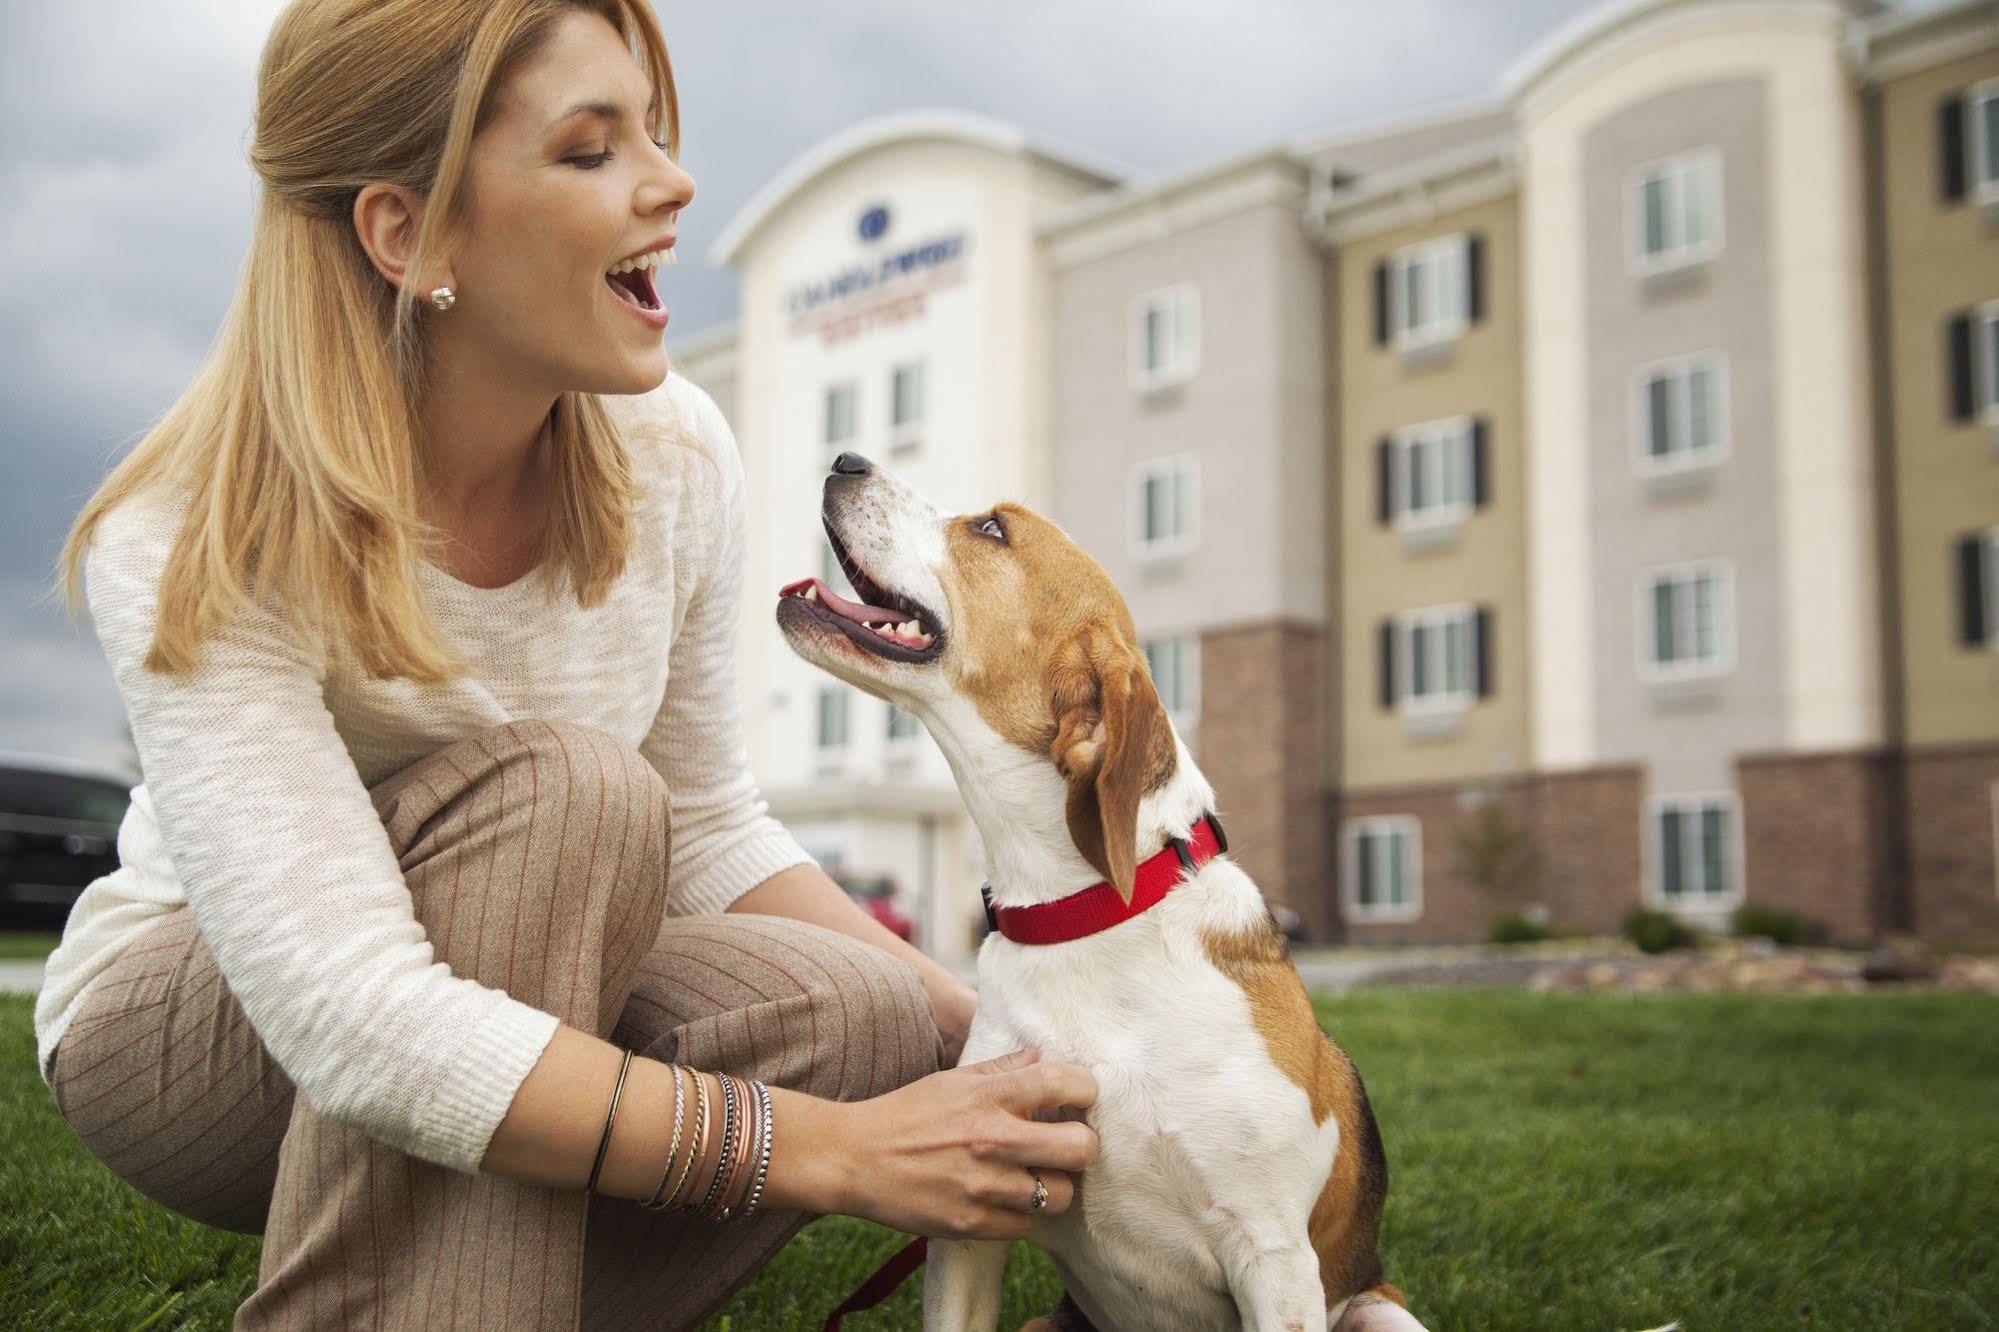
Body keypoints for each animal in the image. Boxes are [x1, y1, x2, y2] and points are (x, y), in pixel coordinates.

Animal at [775, 452, 1423, 1320]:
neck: (1082, 919)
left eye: (992, 529)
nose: (846, 459)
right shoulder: (971, 1225)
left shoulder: (1274, 1258)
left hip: (1382, 1310)